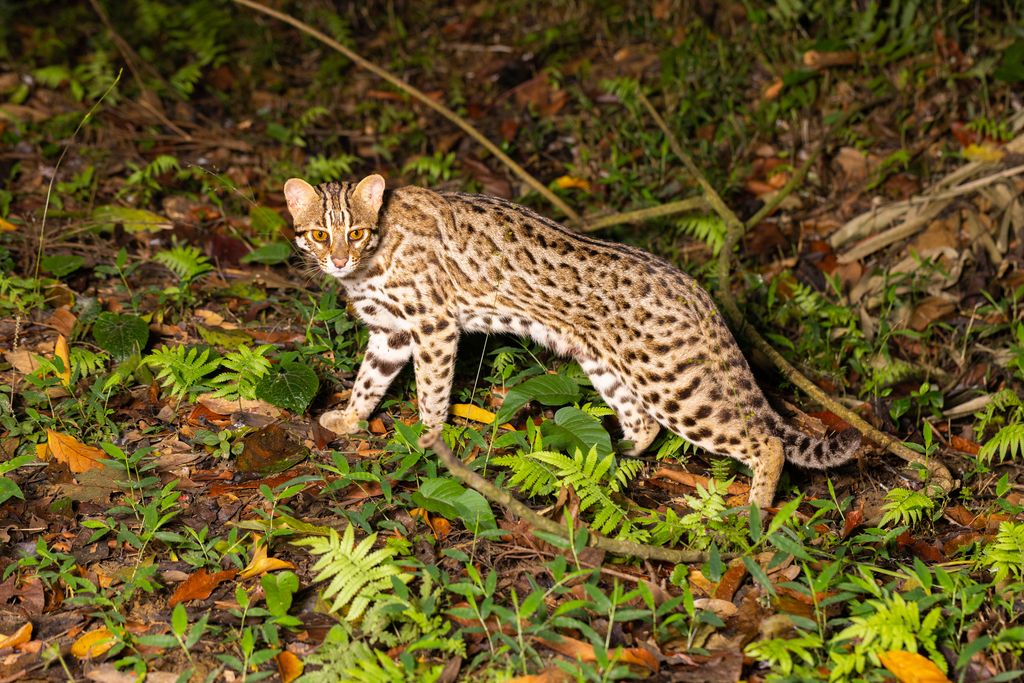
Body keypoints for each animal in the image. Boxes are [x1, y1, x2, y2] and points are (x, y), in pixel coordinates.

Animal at [284, 174, 860, 509]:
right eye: (319, 234)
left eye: (356, 232)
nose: (338, 260)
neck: (373, 255)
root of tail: (693, 287)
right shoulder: (393, 331)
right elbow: (368, 380)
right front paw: (350, 419)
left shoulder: (433, 326)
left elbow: (431, 392)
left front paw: (429, 440)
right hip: (609, 368)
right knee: (644, 425)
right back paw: (615, 454)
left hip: (674, 385)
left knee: (763, 441)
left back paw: (755, 510)